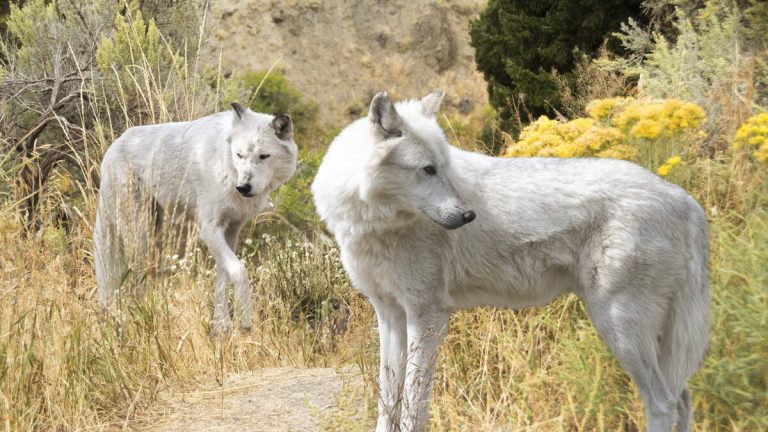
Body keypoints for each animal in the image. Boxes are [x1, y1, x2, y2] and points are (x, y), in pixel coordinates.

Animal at [94, 103, 298, 332]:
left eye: (263, 156)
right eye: (239, 155)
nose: (243, 187)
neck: (226, 166)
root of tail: (111, 148)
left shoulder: (231, 230)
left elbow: (222, 279)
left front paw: (221, 326)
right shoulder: (209, 230)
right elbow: (239, 271)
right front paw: (244, 322)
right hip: (140, 238)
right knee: (130, 280)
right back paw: (134, 321)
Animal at [311, 91, 709, 432]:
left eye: (443, 167)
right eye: (428, 169)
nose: (468, 215)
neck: (375, 224)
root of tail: (686, 200)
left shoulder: (428, 317)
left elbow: (413, 408)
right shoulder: (390, 315)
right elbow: (387, 404)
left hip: (619, 328)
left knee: (663, 403)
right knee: (683, 398)